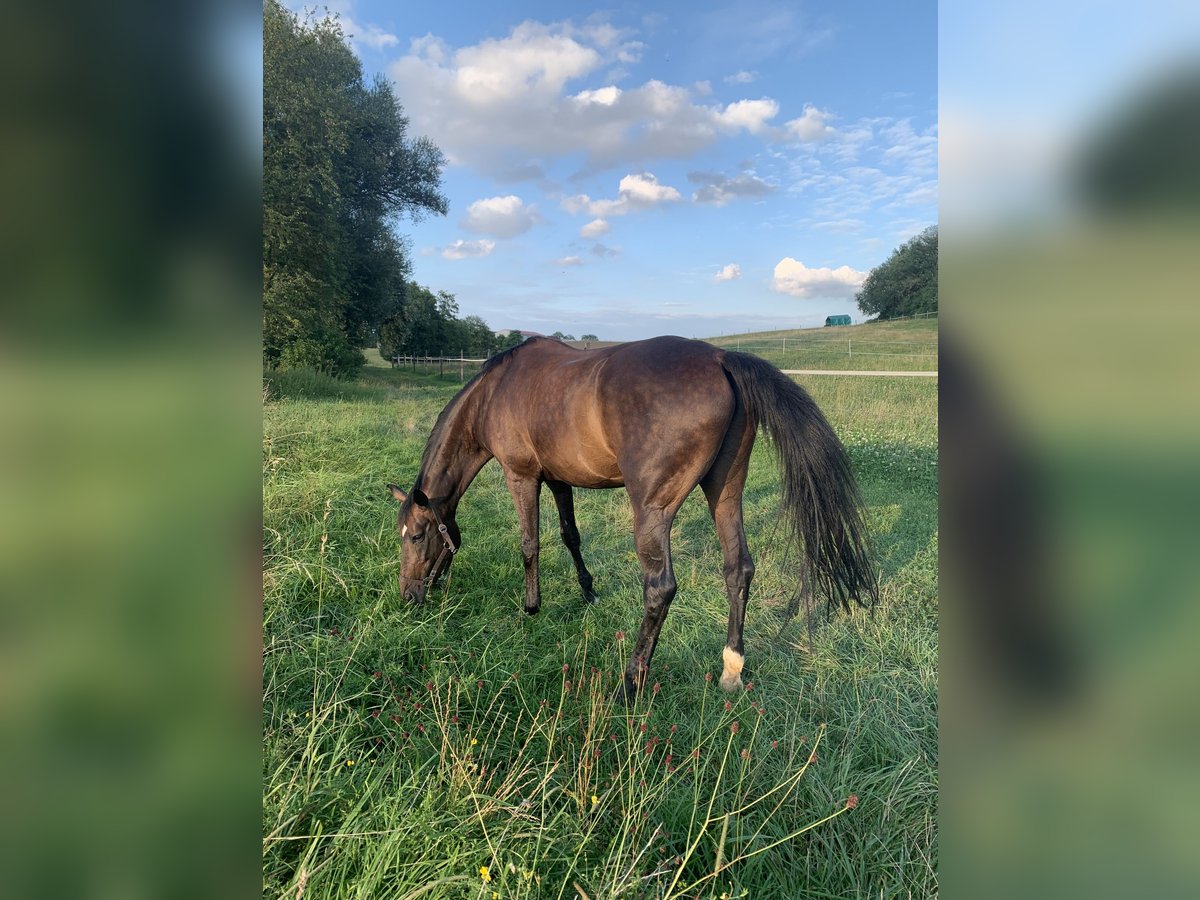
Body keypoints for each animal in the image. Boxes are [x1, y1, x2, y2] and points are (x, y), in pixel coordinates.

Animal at [388, 338, 878, 705]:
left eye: (416, 536)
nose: (409, 596)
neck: (496, 392)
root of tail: (722, 358)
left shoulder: (521, 476)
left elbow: (530, 543)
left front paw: (531, 608)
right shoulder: (559, 479)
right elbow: (570, 535)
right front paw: (588, 592)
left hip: (652, 510)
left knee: (660, 588)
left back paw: (630, 683)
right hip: (724, 493)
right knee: (738, 568)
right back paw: (731, 669)